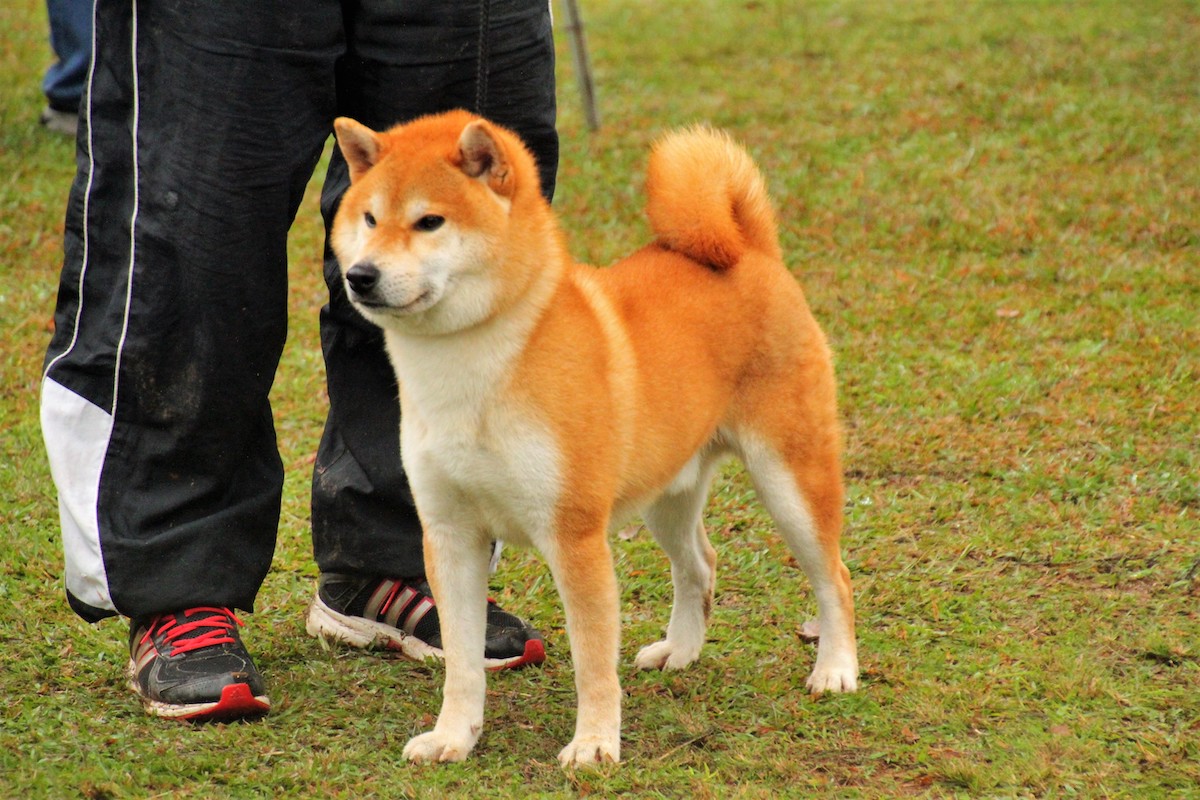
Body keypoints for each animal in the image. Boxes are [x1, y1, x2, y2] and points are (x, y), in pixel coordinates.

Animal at [328, 109, 854, 767]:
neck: (473, 367)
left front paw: (595, 744)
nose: (360, 276)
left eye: (429, 221)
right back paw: (680, 651)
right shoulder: (450, 534)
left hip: (789, 480)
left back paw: (835, 669)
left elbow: (592, 659)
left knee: (834, 577)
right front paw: (453, 736)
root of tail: (751, 250)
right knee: (700, 565)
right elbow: (462, 664)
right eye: (370, 219)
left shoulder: (573, 534)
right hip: (667, 494)